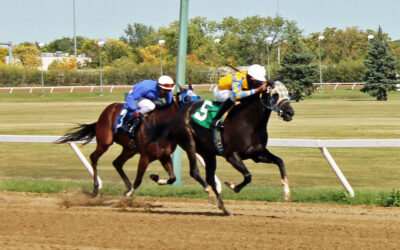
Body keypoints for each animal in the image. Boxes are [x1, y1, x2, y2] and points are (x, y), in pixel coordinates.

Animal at [55, 90, 203, 197]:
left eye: (198, 97)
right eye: (187, 99)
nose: (200, 114)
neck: (160, 126)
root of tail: (107, 110)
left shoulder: (163, 155)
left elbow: (172, 178)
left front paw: (155, 177)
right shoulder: (145, 156)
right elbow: (138, 180)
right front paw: (129, 196)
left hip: (129, 149)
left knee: (117, 163)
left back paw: (126, 185)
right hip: (105, 142)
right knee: (94, 157)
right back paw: (96, 188)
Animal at [167, 82, 296, 215]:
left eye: (289, 93)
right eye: (275, 95)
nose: (290, 112)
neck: (249, 121)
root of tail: (180, 112)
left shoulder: (257, 154)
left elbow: (280, 161)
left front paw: (286, 193)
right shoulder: (232, 155)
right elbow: (248, 176)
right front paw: (233, 186)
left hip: (208, 153)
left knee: (210, 178)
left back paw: (223, 207)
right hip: (189, 143)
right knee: (194, 171)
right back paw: (212, 196)